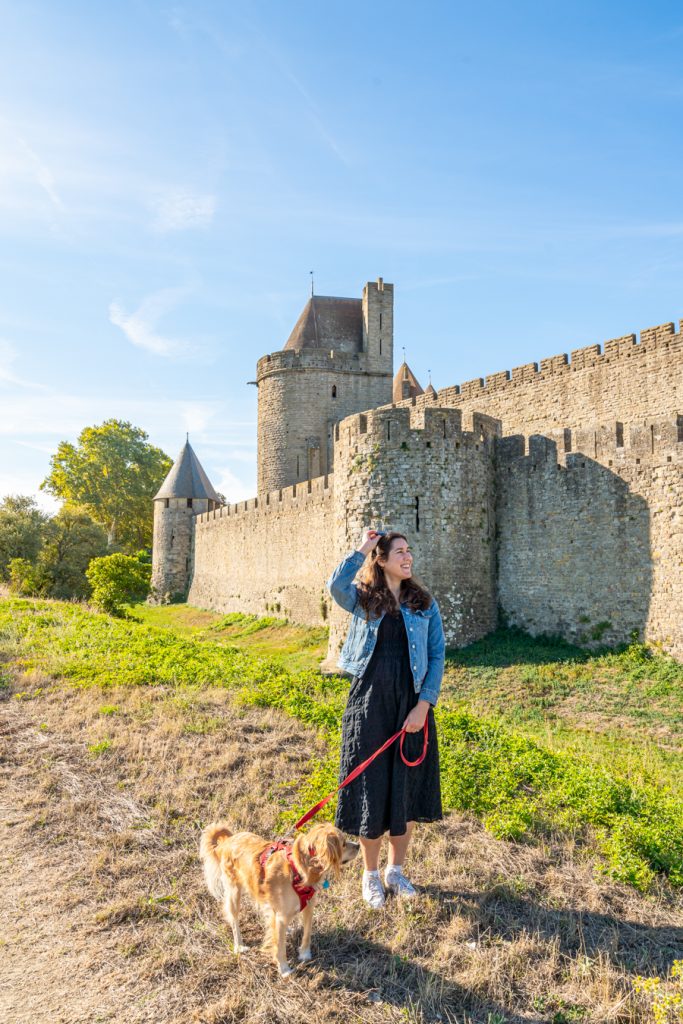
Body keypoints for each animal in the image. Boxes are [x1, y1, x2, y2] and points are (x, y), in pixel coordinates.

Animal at [200, 815, 360, 974]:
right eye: (343, 844)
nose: (358, 845)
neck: (299, 869)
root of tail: (229, 840)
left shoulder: (309, 906)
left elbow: (307, 933)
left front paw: (304, 954)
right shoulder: (282, 916)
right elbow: (279, 946)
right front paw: (284, 969)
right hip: (234, 891)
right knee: (234, 920)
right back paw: (239, 946)